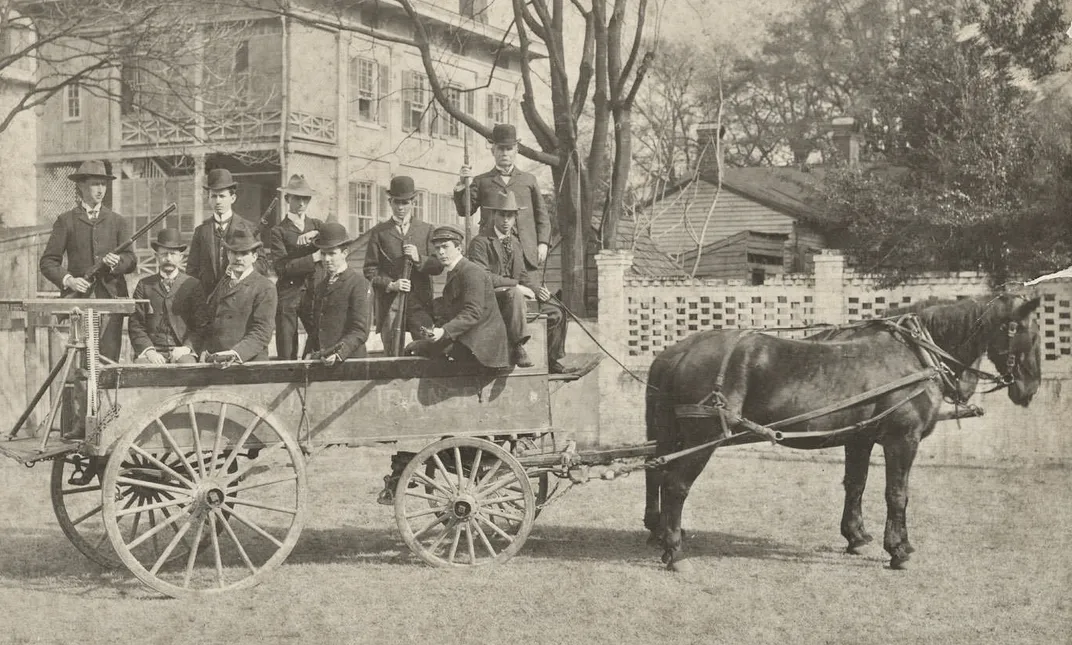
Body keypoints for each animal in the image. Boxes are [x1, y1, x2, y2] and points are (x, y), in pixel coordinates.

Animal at [638, 291, 1041, 565]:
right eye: (1026, 332)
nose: (1030, 388)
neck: (915, 355)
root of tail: (679, 352)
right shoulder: (902, 440)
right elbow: (897, 494)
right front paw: (898, 549)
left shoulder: (859, 438)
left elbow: (856, 485)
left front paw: (856, 536)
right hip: (703, 438)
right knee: (675, 485)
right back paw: (673, 550)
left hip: (672, 435)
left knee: (656, 473)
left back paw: (660, 530)